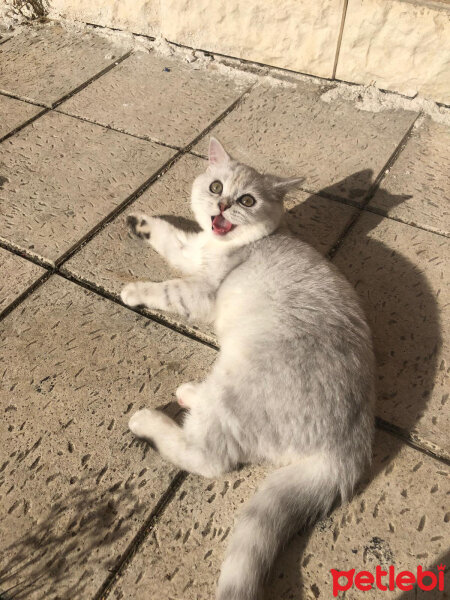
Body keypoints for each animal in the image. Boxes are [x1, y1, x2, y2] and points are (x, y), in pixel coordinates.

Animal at [120, 137, 376, 600]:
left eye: (247, 200)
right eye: (216, 186)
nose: (222, 205)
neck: (222, 247)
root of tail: (352, 446)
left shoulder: (199, 293)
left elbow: (166, 289)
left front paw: (134, 290)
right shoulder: (192, 250)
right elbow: (170, 237)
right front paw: (140, 223)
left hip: (234, 392)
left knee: (206, 457)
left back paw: (147, 421)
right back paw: (188, 393)